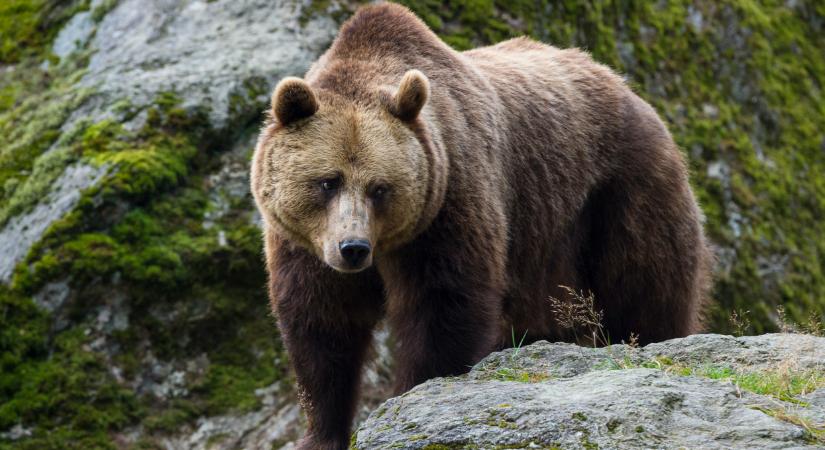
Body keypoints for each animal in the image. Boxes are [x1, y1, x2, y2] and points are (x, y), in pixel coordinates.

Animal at [248, 2, 712, 446]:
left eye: (380, 188)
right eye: (328, 181)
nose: (354, 248)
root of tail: (627, 87)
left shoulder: (449, 199)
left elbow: (443, 303)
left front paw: (415, 393)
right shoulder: (305, 244)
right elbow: (322, 326)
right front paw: (321, 432)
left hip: (617, 194)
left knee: (645, 286)